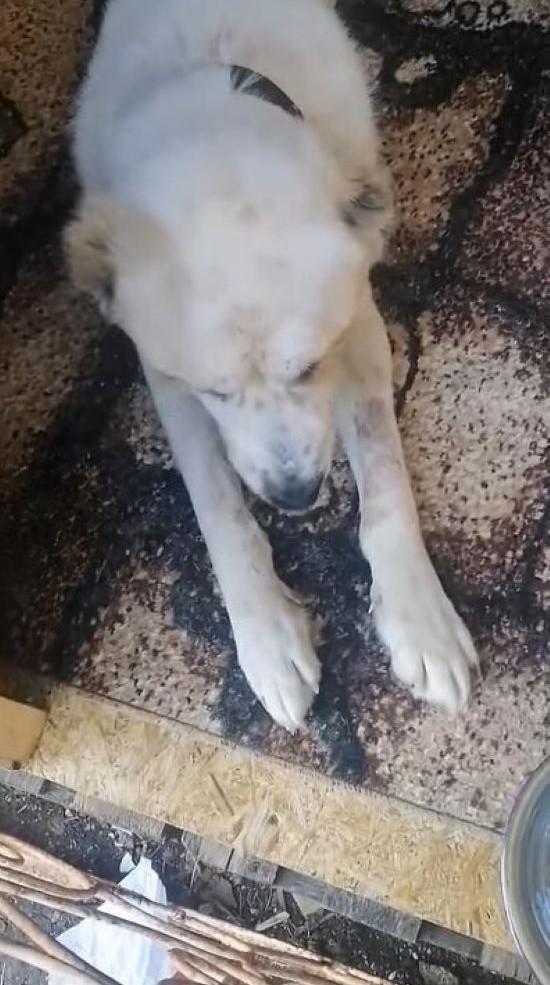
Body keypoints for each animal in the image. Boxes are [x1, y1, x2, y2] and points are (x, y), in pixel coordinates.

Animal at [63, 0, 478, 732]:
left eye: (311, 365)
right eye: (215, 390)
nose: (293, 495)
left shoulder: (358, 325)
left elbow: (385, 478)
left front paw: (420, 620)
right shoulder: (166, 374)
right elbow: (217, 505)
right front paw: (266, 634)